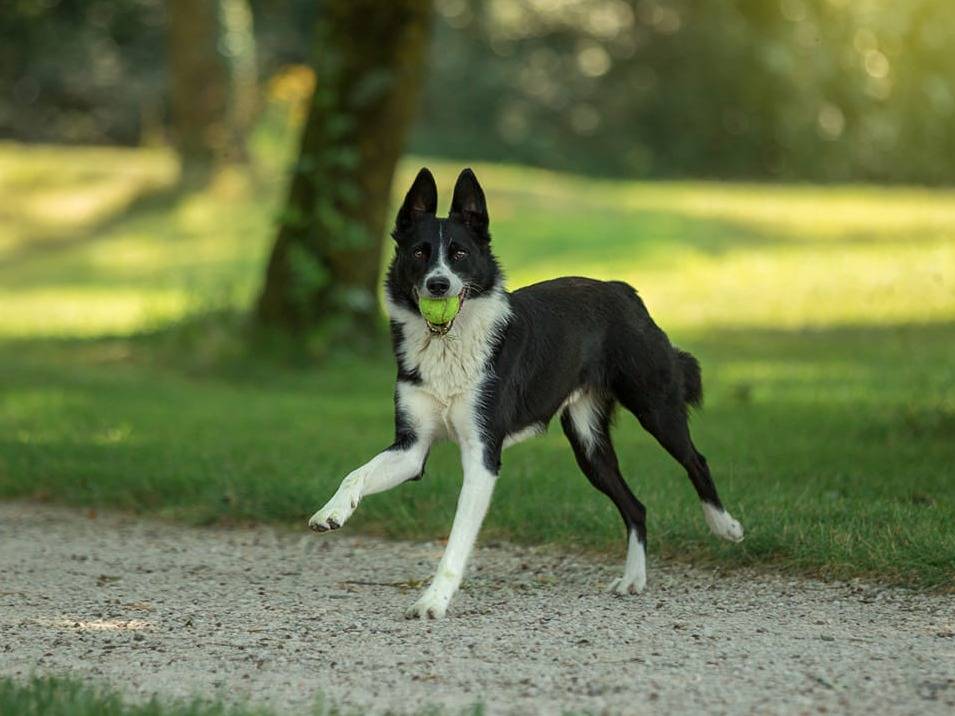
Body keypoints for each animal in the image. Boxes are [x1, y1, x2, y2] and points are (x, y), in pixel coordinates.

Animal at [308, 167, 744, 619]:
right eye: (418, 253)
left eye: (459, 254)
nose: (438, 285)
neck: (450, 343)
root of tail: (622, 289)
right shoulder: (412, 448)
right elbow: (355, 473)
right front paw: (331, 512)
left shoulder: (482, 454)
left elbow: (457, 539)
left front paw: (433, 600)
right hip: (588, 446)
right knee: (635, 506)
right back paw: (633, 579)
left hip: (655, 406)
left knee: (696, 460)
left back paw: (725, 526)